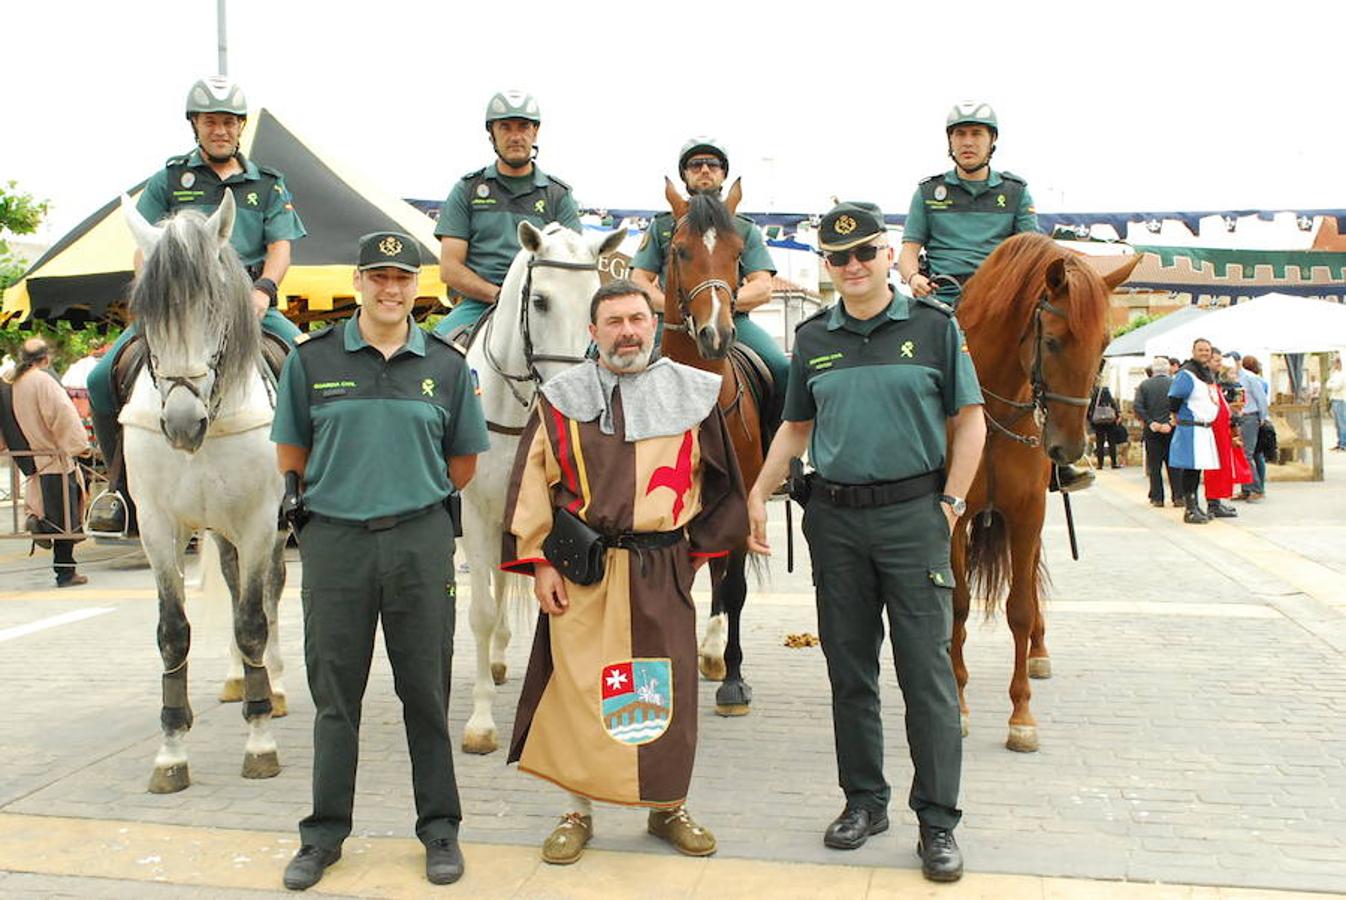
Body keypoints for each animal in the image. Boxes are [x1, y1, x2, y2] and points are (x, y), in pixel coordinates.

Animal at [121, 193, 289, 791]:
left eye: (214, 306)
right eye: (147, 314)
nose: (181, 423)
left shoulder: (260, 522)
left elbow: (253, 622)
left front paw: (260, 741)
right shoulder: (158, 528)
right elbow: (173, 632)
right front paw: (171, 750)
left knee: (266, 595)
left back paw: (271, 687)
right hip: (219, 532)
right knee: (237, 586)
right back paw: (242, 680)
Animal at [952, 234, 1141, 753]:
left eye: (1104, 345)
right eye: (1053, 341)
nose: (1068, 447)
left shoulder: (1028, 513)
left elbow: (1019, 608)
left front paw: (1021, 717)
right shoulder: (952, 517)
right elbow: (957, 603)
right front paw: (958, 703)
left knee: (1032, 583)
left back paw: (1038, 651)